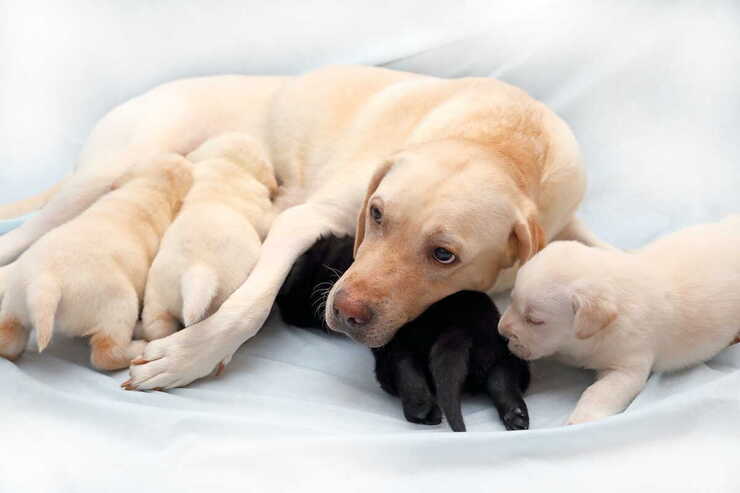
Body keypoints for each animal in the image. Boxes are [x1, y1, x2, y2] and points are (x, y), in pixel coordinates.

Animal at [0, 155, 194, 368]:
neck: (148, 188)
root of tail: (46, 284)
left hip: (16, 301)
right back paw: (138, 345)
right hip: (119, 304)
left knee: (8, 339)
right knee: (106, 353)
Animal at [140, 135, 276, 342]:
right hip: (218, 298)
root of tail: (196, 270)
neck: (228, 165)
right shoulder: (262, 212)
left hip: (156, 299)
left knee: (156, 328)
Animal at [274, 234, 528, 430]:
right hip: (501, 353)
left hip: (396, 354)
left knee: (405, 373)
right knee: (502, 379)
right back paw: (516, 415)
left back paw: (423, 411)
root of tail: (461, 329)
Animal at [498, 215, 740, 422]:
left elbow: (599, 392)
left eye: (535, 320)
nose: (501, 332)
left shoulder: (628, 366)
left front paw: (580, 420)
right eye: (511, 300)